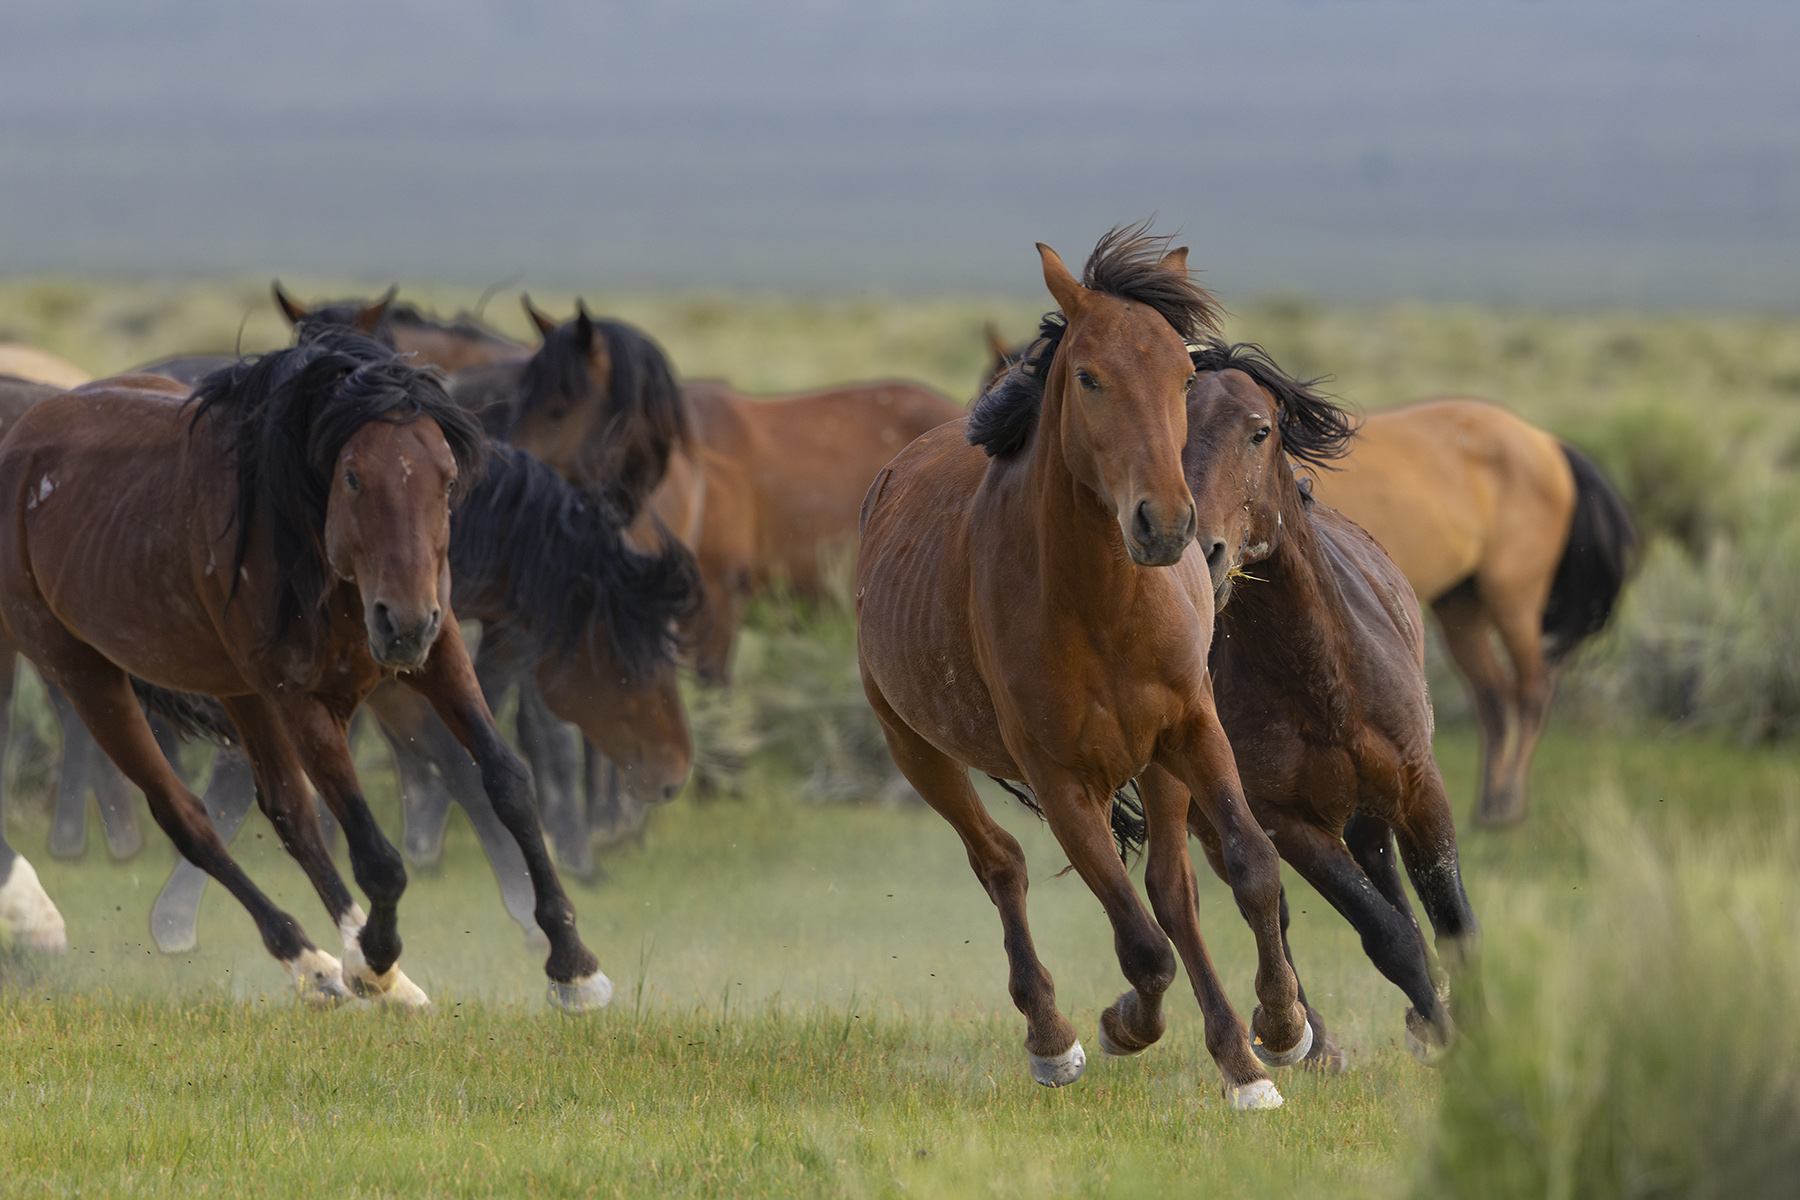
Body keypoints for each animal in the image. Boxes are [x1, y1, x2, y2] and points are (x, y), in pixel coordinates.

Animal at [0, 333, 611, 1009]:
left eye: (448, 479)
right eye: (353, 476)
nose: (401, 624)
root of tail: (24, 438)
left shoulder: (441, 649)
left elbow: (508, 785)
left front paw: (573, 963)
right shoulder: (301, 700)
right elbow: (377, 857)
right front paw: (374, 960)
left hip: (234, 687)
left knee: (288, 812)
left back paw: (352, 971)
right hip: (82, 671)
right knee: (188, 818)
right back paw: (315, 962)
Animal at [856, 227, 1309, 1110]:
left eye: (1182, 376)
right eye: (1091, 377)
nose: (1165, 524)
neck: (1102, 607)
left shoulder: (1192, 728)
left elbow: (1249, 869)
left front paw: (1276, 1034)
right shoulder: (1060, 777)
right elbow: (1141, 947)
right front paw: (1124, 1024)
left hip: (1156, 763)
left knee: (1172, 889)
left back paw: (1234, 1053)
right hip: (917, 747)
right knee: (1001, 864)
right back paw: (1053, 1039)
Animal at [1172, 341, 1480, 1066]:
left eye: (1260, 430)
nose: (1202, 552)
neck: (1321, 684)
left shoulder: (1419, 787)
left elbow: (1450, 918)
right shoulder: (1285, 820)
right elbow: (1387, 936)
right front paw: (1448, 1036)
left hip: (1373, 805)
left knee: (1381, 866)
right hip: (1208, 816)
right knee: (1273, 910)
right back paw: (1306, 1039)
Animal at [1306, 399, 1634, 826]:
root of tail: (1547, 442)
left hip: (1514, 604)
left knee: (1532, 690)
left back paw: (1508, 802)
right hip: (1462, 609)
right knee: (1493, 696)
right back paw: (1487, 805)